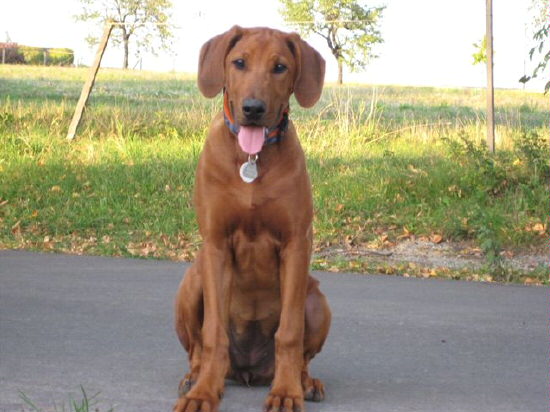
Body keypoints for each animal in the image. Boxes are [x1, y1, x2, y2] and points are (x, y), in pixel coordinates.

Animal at [174, 26, 331, 412]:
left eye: (280, 67)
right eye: (239, 62)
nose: (253, 109)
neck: (252, 157)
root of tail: (248, 371)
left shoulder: (296, 243)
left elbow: (289, 334)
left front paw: (287, 391)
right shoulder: (216, 245)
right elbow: (213, 334)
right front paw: (204, 393)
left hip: (317, 297)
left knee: (302, 355)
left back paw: (305, 382)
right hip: (193, 279)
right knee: (197, 349)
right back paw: (195, 378)